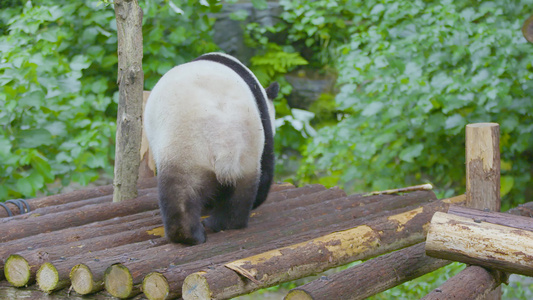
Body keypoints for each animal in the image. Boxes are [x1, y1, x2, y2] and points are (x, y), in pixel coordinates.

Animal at [143, 52, 280, 245]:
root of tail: (224, 134)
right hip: (247, 151)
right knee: (241, 194)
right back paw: (222, 224)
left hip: (184, 147)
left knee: (178, 192)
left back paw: (188, 235)